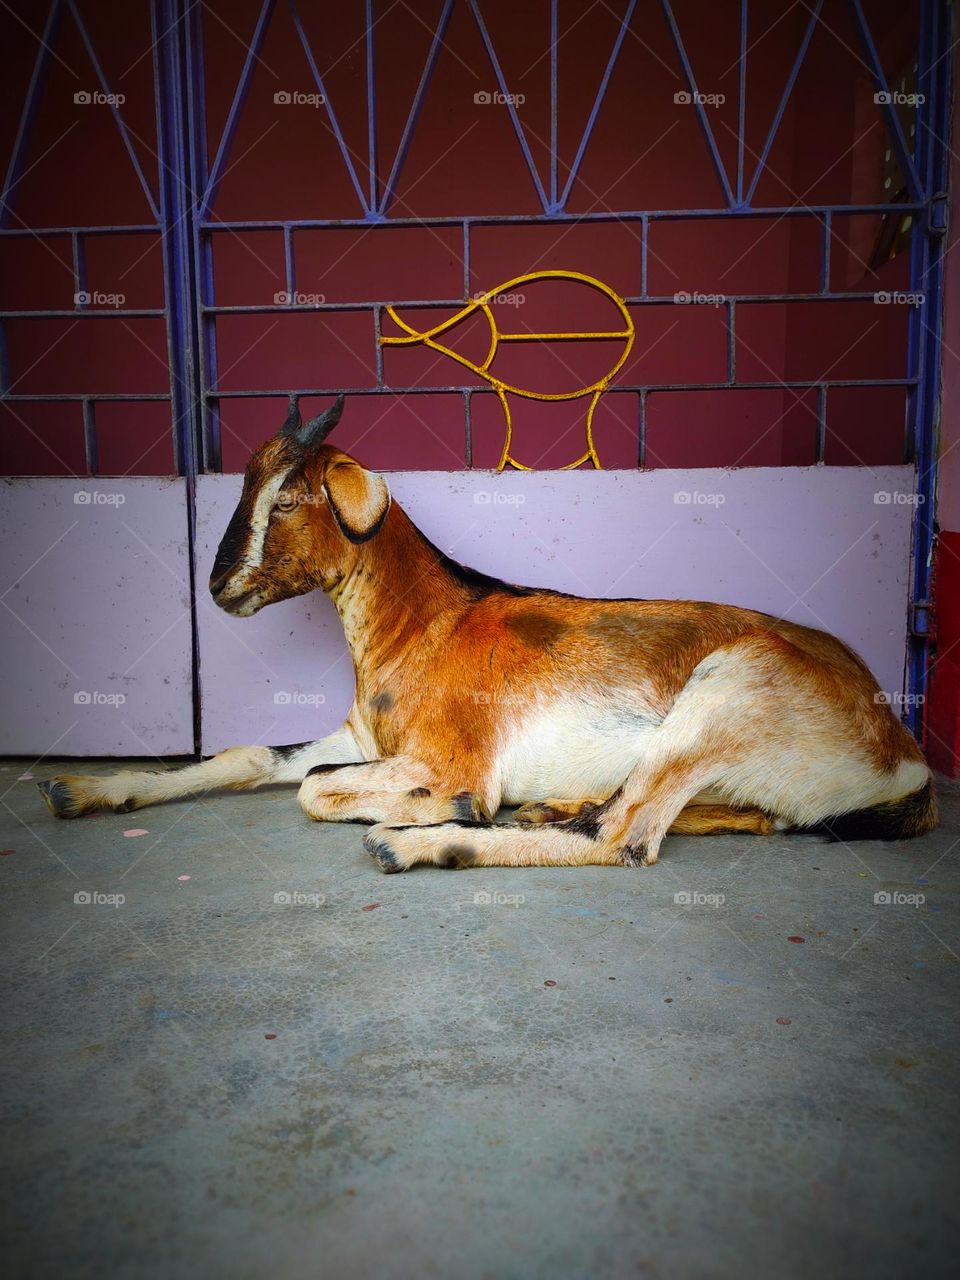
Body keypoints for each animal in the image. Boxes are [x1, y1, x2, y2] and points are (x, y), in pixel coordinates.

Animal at [39, 395, 937, 872]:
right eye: (247, 485)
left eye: (289, 498)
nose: (220, 585)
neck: (425, 625)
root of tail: (904, 751)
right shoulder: (356, 736)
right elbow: (252, 757)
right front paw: (82, 789)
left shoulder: (449, 755)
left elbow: (315, 788)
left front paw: (445, 813)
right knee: (707, 818)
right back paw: (543, 809)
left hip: (725, 695)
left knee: (621, 838)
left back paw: (419, 844)